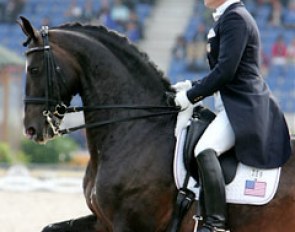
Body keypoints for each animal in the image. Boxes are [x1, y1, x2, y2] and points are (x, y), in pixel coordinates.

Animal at [18, 16, 295, 232]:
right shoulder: (102, 221)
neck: (136, 128)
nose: (31, 129)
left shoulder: (130, 224)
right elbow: (48, 227)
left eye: (33, 70)